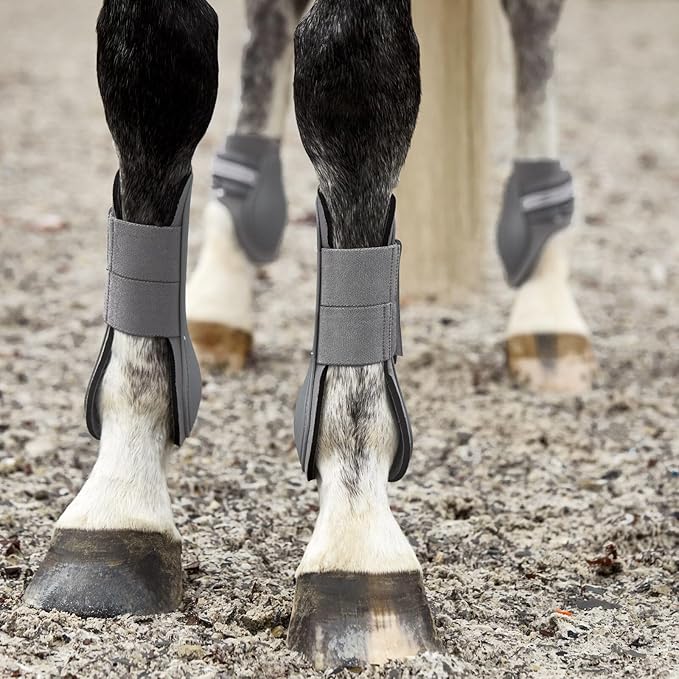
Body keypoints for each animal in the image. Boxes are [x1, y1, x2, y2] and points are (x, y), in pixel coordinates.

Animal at [22, 0, 592, 670]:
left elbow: (351, 79)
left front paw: (357, 544)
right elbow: (154, 75)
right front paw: (116, 509)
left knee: (533, 25)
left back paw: (547, 311)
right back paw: (222, 288)